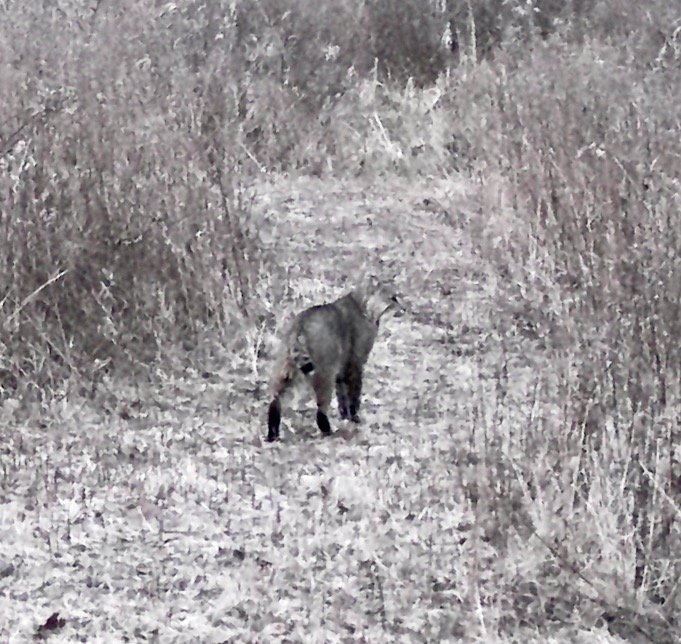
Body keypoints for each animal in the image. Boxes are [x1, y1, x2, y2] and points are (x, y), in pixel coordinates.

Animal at [266, 282, 404, 442]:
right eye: (393, 298)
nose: (404, 309)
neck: (363, 306)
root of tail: (300, 324)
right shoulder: (355, 362)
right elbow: (353, 392)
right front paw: (354, 417)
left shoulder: (342, 366)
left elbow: (342, 394)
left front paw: (345, 416)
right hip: (325, 370)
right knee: (321, 406)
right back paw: (326, 429)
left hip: (284, 366)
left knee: (275, 400)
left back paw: (272, 433)